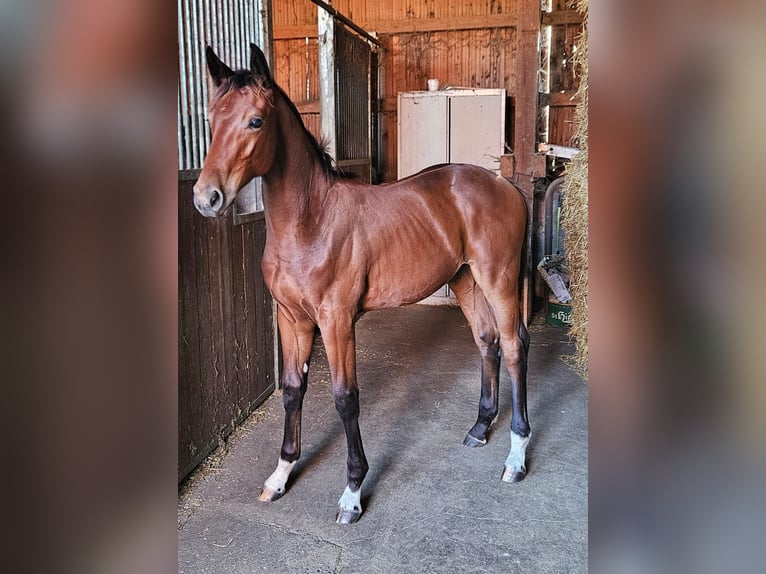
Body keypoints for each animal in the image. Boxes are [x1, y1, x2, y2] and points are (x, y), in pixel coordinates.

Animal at [194, 45, 536, 528]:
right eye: (211, 118)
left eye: (255, 121)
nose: (206, 198)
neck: (310, 221)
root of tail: (503, 184)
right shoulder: (292, 319)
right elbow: (292, 389)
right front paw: (281, 475)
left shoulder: (336, 321)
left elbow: (345, 398)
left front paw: (352, 493)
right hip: (466, 280)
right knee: (487, 342)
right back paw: (479, 428)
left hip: (498, 280)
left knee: (513, 346)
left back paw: (516, 457)